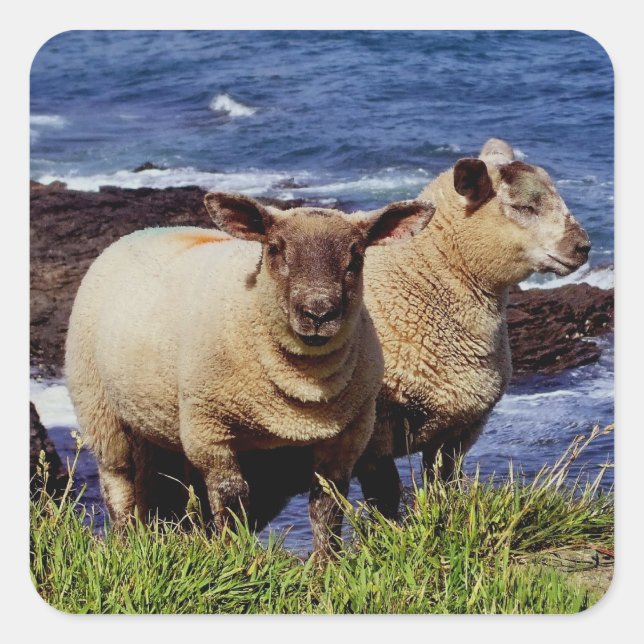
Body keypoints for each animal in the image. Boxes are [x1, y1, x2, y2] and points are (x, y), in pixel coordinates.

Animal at [64, 192, 435, 554]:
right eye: (275, 249)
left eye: (356, 256)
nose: (318, 313)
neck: (303, 383)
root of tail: (147, 230)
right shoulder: (208, 430)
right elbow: (230, 496)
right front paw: (234, 555)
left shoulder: (348, 436)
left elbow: (326, 505)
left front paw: (326, 564)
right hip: (100, 410)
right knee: (119, 485)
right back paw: (125, 543)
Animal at [354, 138, 592, 517]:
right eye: (522, 206)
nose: (583, 247)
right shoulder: (373, 436)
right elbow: (385, 499)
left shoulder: (457, 430)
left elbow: (444, 487)